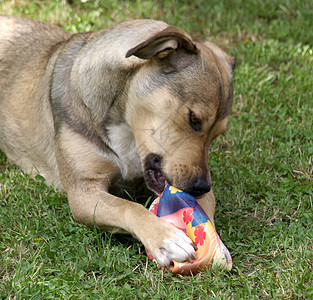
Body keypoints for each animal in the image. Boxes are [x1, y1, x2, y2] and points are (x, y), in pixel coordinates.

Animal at [0, 15, 234, 268]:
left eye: (218, 133)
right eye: (194, 119)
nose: (201, 187)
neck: (126, 127)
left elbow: (204, 210)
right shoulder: (83, 191)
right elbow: (129, 207)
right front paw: (165, 237)